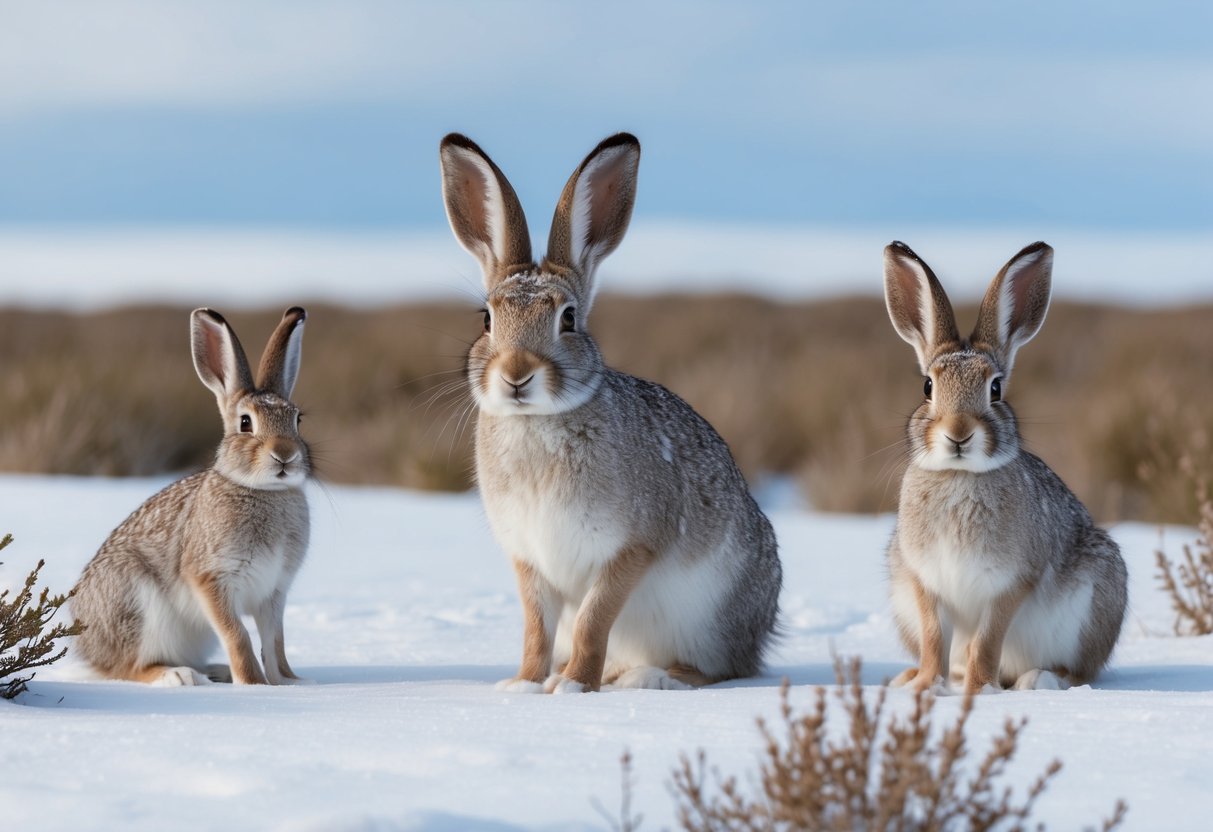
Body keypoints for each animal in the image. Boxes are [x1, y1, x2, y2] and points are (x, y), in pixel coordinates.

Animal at [71, 307, 312, 686]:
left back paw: (214, 672)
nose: (285, 455)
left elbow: (275, 642)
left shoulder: (274, 592)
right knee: (127, 667)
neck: (264, 491)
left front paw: (289, 682)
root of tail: (86, 644)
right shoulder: (212, 578)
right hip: (136, 605)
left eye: (297, 420)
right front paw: (253, 684)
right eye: (246, 423)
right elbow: (238, 635)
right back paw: (180, 676)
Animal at [439, 132, 782, 693]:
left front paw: (574, 686)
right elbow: (537, 629)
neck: (536, 421)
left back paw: (652, 678)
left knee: (723, 670)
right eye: (486, 318)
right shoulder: (528, 560)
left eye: (569, 318)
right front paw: (524, 685)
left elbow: (593, 621)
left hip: (712, 618)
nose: (516, 373)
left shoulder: (629, 550)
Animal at [883, 241, 1128, 695]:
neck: (961, 476)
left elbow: (987, 640)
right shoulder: (923, 583)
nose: (958, 433)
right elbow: (933, 638)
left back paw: (1040, 680)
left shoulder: (1011, 584)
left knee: (1080, 671)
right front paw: (926, 686)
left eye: (995, 389)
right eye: (927, 386)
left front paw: (980, 690)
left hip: (1093, 604)